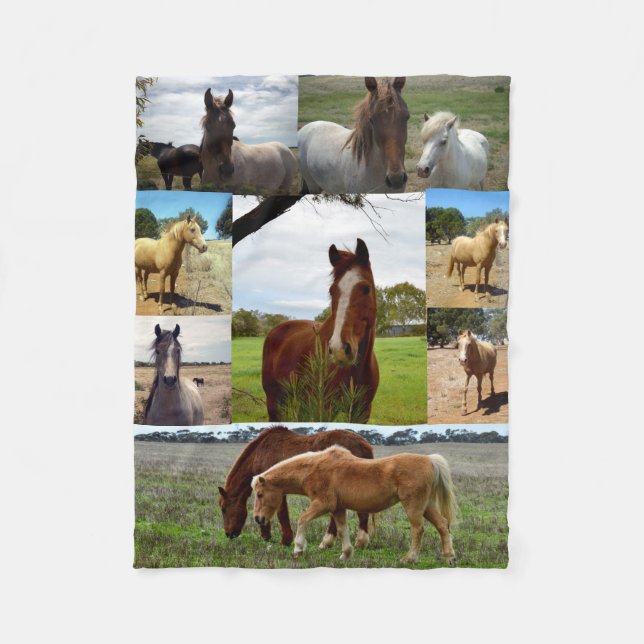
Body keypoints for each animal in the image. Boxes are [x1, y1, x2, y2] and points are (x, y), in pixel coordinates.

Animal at [218, 426, 374, 548]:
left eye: (224, 509)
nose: (228, 534)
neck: (261, 453)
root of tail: (363, 444)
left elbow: (281, 513)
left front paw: (284, 540)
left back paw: (354, 541)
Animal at [252, 445, 457, 565]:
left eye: (260, 494)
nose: (258, 519)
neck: (314, 468)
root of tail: (430, 460)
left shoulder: (323, 504)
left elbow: (302, 519)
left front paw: (298, 549)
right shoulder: (337, 508)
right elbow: (342, 530)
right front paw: (345, 555)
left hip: (413, 507)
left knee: (418, 530)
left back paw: (409, 558)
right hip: (427, 506)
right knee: (442, 525)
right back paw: (450, 557)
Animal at [262, 238, 379, 422]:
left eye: (366, 288)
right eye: (332, 291)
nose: (339, 350)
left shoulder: (362, 413)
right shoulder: (324, 408)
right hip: (273, 402)